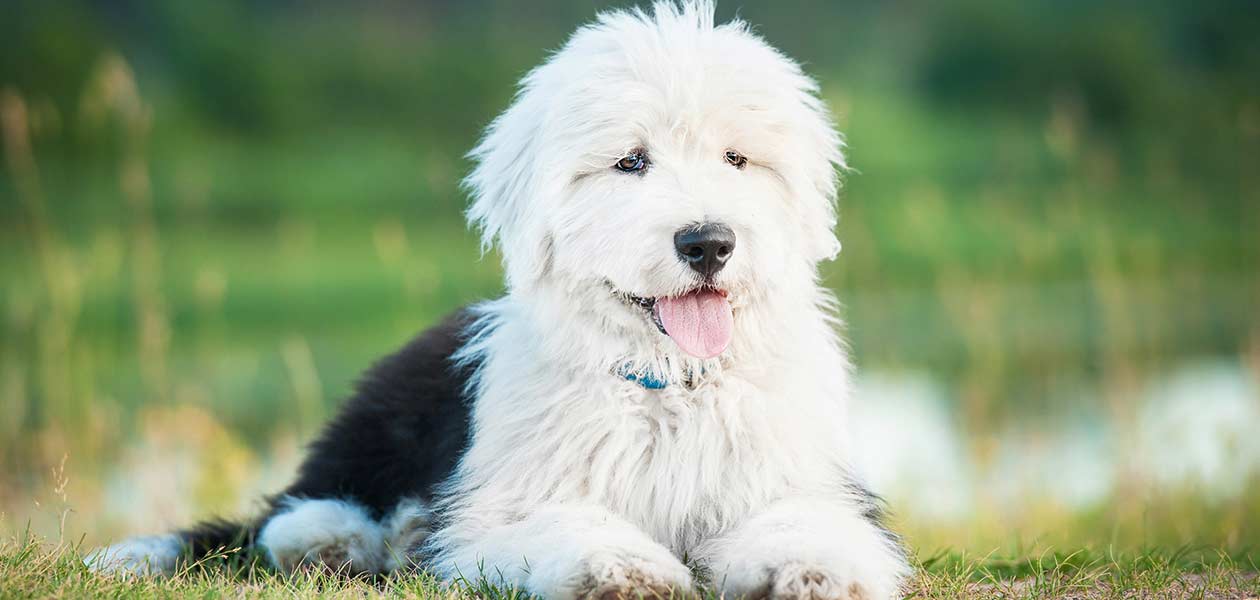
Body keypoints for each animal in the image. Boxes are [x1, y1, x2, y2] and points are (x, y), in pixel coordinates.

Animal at [91, 2, 917, 597]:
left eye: (737, 158)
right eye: (631, 162)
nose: (708, 243)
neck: (668, 388)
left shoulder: (801, 479)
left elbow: (810, 523)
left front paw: (811, 571)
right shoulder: (506, 501)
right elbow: (559, 525)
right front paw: (623, 570)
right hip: (385, 412)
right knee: (289, 512)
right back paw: (341, 540)